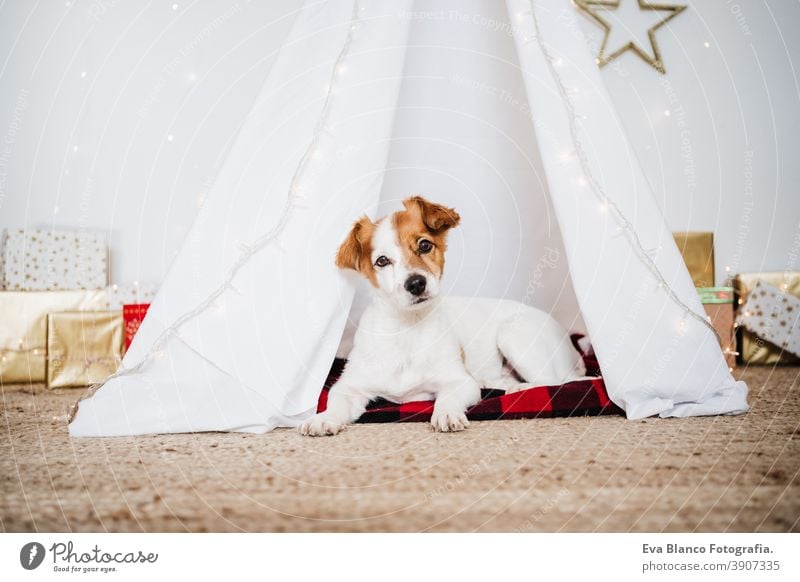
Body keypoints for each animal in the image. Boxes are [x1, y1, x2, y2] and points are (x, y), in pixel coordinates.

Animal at [296, 197, 584, 438]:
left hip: (514, 335)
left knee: (557, 382)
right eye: (382, 261)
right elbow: (336, 402)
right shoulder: (349, 386)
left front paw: (446, 413)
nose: (416, 283)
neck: (407, 328)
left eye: (424, 245)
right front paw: (323, 418)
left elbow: (448, 397)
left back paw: (521, 388)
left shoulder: (459, 382)